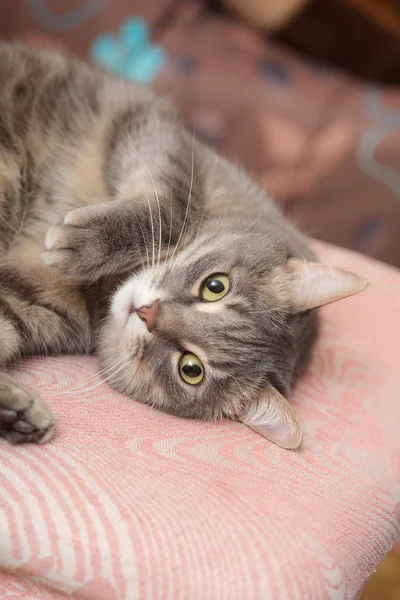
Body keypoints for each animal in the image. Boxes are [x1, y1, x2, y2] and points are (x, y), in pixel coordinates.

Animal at [0, 44, 368, 448]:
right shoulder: (161, 135)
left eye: (191, 369)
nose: (146, 312)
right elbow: (171, 210)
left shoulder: (31, 301)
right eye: (215, 286)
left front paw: (16, 411)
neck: (105, 288)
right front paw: (84, 244)